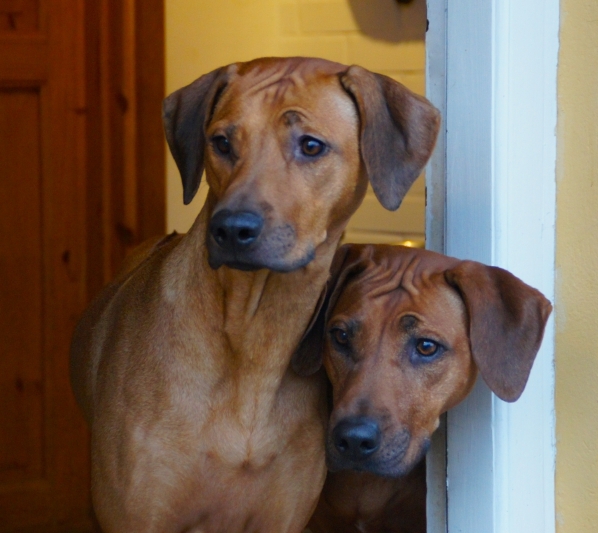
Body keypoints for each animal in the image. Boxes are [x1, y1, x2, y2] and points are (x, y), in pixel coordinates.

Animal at [68, 58, 440, 532]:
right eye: (221, 142)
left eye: (311, 145)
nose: (231, 229)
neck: (254, 340)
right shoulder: (137, 514)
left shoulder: (284, 515)